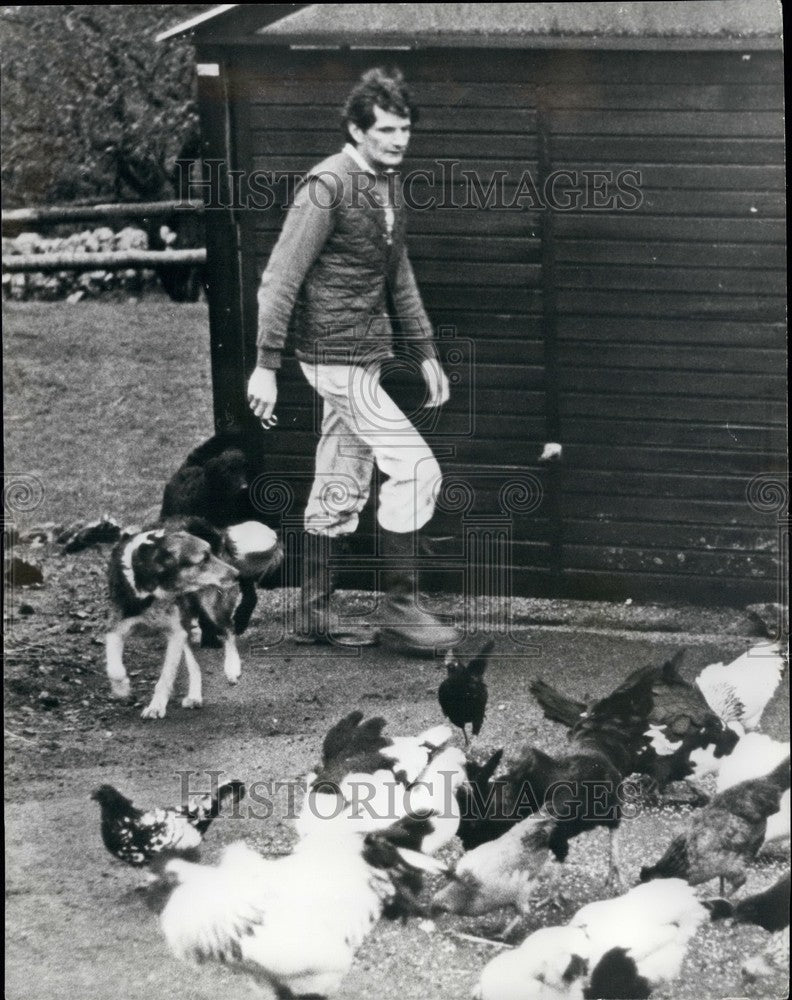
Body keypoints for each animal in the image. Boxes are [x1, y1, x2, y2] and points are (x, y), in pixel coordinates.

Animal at [106, 524, 241, 720]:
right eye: (203, 559)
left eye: (211, 554)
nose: (238, 574)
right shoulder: (116, 629)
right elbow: (114, 668)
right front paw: (121, 690)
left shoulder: (176, 633)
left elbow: (165, 677)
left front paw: (156, 707)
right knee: (195, 663)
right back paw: (194, 696)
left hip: (211, 607)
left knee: (229, 629)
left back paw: (232, 667)